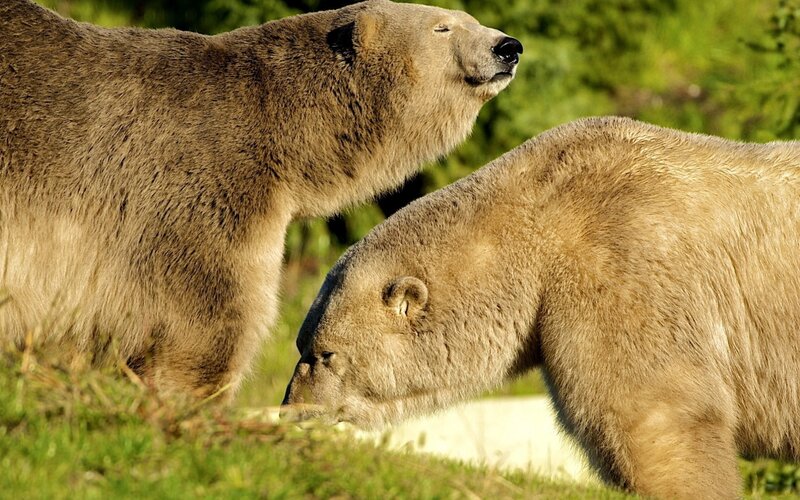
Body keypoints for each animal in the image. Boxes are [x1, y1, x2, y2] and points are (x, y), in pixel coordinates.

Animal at [0, 0, 522, 398]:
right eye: (443, 26)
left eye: (472, 18)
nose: (508, 47)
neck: (274, 119)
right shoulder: (203, 184)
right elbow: (209, 312)